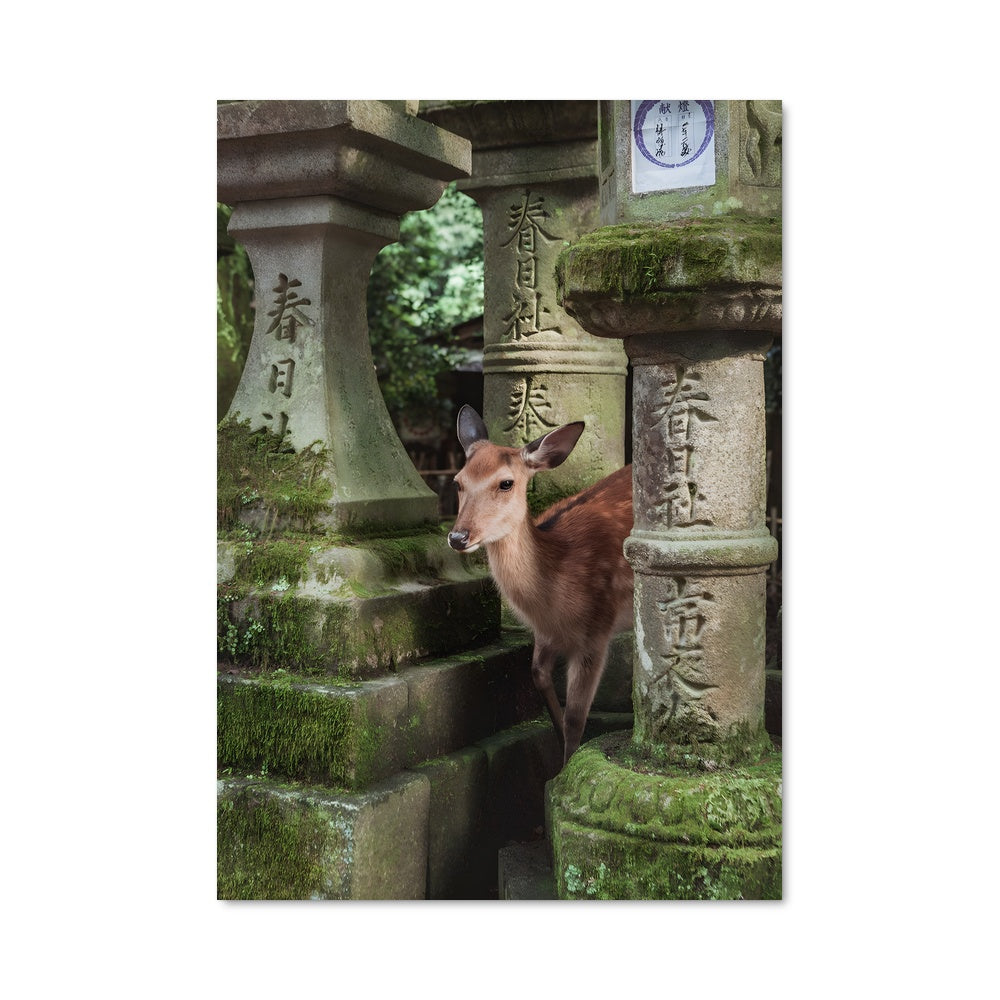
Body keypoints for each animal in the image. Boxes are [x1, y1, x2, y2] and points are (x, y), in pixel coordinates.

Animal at [448, 405, 634, 767]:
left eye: (506, 483)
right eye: (458, 482)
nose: (458, 537)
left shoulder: (596, 630)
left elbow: (575, 717)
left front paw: (566, 768)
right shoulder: (545, 633)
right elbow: (539, 678)